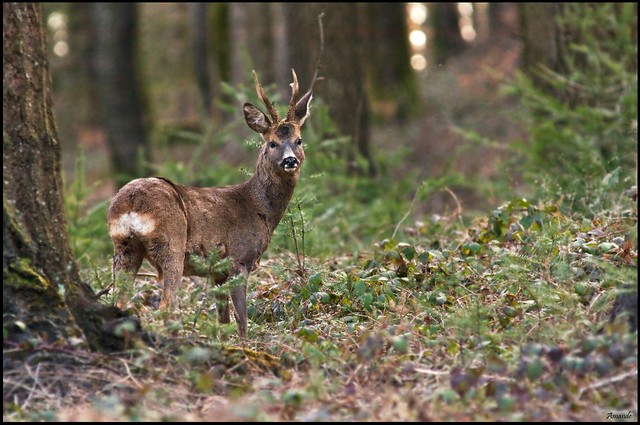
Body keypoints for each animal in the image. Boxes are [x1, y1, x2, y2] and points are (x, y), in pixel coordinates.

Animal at [107, 68, 312, 334]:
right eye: (272, 143)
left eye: (299, 140)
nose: (290, 161)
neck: (258, 207)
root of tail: (131, 202)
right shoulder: (238, 259)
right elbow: (242, 320)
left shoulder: (216, 273)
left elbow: (223, 319)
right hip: (171, 244)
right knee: (167, 306)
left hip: (124, 248)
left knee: (118, 301)